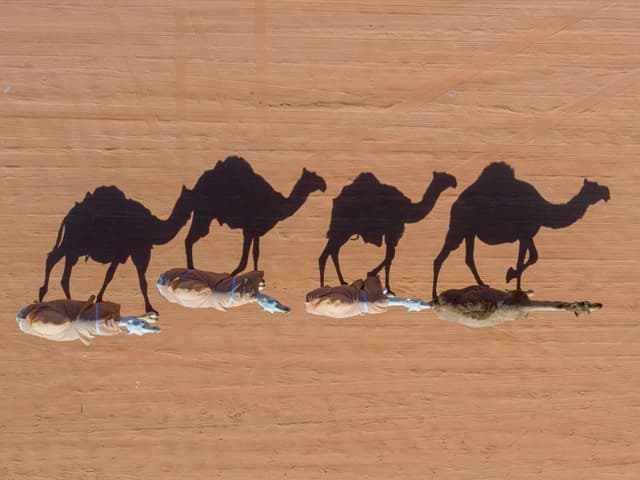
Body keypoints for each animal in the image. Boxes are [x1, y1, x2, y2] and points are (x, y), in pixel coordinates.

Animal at [38, 185, 194, 316]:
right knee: (52, 259)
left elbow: (109, 275)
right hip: (73, 242)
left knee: (62, 269)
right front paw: (150, 309)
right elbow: (142, 282)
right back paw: (45, 296)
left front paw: (99, 298)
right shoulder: (139, 250)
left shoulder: (121, 254)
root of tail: (68, 216)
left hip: (74, 247)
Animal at [185, 155, 327, 274]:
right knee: (190, 239)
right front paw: (230, 277)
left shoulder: (257, 230)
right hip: (203, 213)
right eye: (313, 177)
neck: (277, 205)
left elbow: (256, 253)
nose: (324, 185)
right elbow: (244, 261)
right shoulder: (248, 228)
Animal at [319, 171, 457, 294]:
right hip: (343, 229)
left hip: (344, 231)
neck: (407, 209)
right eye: (444, 176)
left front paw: (385, 287)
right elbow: (390, 256)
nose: (454, 181)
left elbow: (389, 257)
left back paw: (342, 281)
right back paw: (322, 287)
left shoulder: (391, 233)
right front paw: (376, 278)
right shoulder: (393, 231)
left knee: (333, 251)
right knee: (327, 253)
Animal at [432, 162, 610, 299]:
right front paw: (512, 280)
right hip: (459, 228)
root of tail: (456, 203)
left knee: (469, 258)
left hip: (470, 232)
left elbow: (530, 258)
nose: (606, 192)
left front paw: (514, 281)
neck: (542, 210)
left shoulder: (526, 235)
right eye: (594, 187)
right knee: (441, 258)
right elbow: (529, 258)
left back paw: (483, 284)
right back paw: (434, 297)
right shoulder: (524, 234)